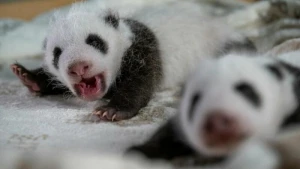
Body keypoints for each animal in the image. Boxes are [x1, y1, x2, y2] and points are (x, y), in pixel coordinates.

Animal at [9, 1, 253, 121]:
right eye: (57, 53)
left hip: (217, 45)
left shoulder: (142, 48)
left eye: (95, 41)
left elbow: (140, 81)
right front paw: (28, 76)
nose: (78, 67)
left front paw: (112, 110)